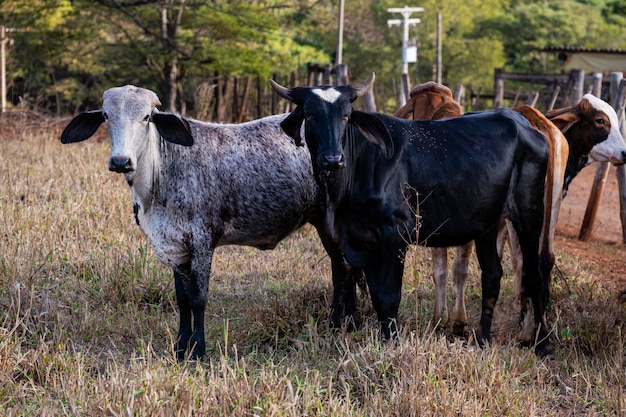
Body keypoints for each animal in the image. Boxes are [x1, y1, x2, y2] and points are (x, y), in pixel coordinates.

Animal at [59, 83, 360, 358]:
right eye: (107, 116)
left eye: (146, 117)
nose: (121, 161)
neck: (162, 172)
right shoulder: (175, 245)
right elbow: (182, 299)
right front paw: (181, 346)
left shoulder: (202, 241)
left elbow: (198, 297)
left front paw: (198, 348)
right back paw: (349, 323)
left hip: (330, 223)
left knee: (343, 268)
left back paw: (339, 323)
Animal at [268, 73, 552, 356]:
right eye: (310, 114)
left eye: (346, 115)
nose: (332, 159)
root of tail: (522, 123)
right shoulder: (358, 241)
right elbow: (375, 294)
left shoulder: (395, 236)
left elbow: (389, 296)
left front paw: (391, 341)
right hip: (487, 223)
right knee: (492, 275)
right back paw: (482, 339)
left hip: (529, 215)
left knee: (534, 273)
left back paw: (543, 344)